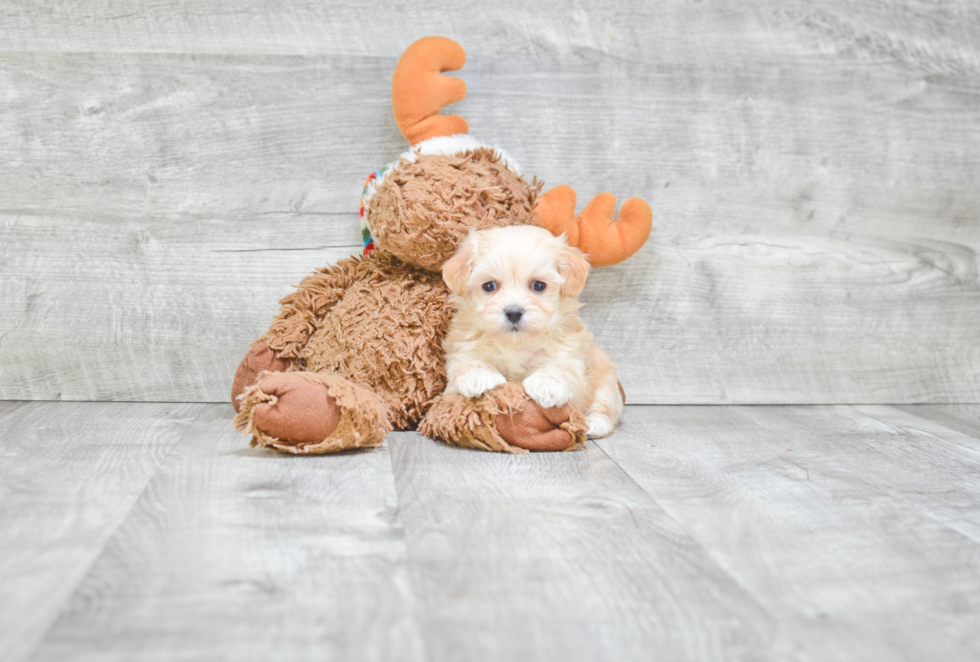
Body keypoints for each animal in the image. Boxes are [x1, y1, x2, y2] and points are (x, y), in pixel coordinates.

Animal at [442, 226, 620, 438]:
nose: (513, 312)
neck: (517, 343)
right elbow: (466, 364)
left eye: (538, 285)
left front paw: (545, 384)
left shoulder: (570, 355)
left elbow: (561, 368)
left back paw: (594, 424)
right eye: (489, 286)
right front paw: (480, 377)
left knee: (605, 405)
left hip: (605, 377)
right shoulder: (462, 349)